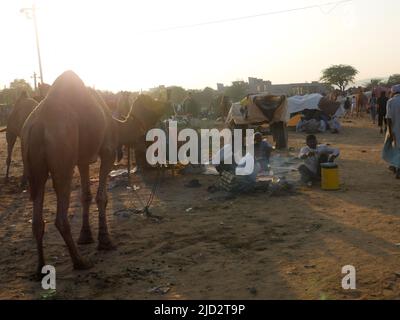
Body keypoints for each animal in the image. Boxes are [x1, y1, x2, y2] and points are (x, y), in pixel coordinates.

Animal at [20, 71, 139, 274]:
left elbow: (85, 196)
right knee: (61, 216)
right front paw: (105, 241)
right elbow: (101, 197)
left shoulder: (83, 160)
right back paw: (80, 262)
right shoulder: (107, 150)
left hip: (34, 169)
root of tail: (37, 125)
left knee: (37, 218)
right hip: (63, 158)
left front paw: (85, 237)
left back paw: (40, 267)